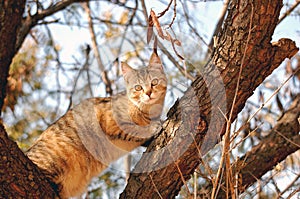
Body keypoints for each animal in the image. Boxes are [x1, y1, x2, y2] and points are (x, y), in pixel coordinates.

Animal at [26, 52, 168, 198]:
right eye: (138, 87)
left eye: (154, 82)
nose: (148, 93)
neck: (149, 112)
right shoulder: (110, 120)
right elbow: (135, 129)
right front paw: (153, 127)